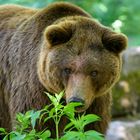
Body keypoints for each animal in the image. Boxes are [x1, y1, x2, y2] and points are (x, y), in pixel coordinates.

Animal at [0, 1, 127, 138]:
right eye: (67, 69)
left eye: (94, 72)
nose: (76, 100)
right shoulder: (34, 90)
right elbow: (33, 126)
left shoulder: (96, 101)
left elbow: (92, 128)